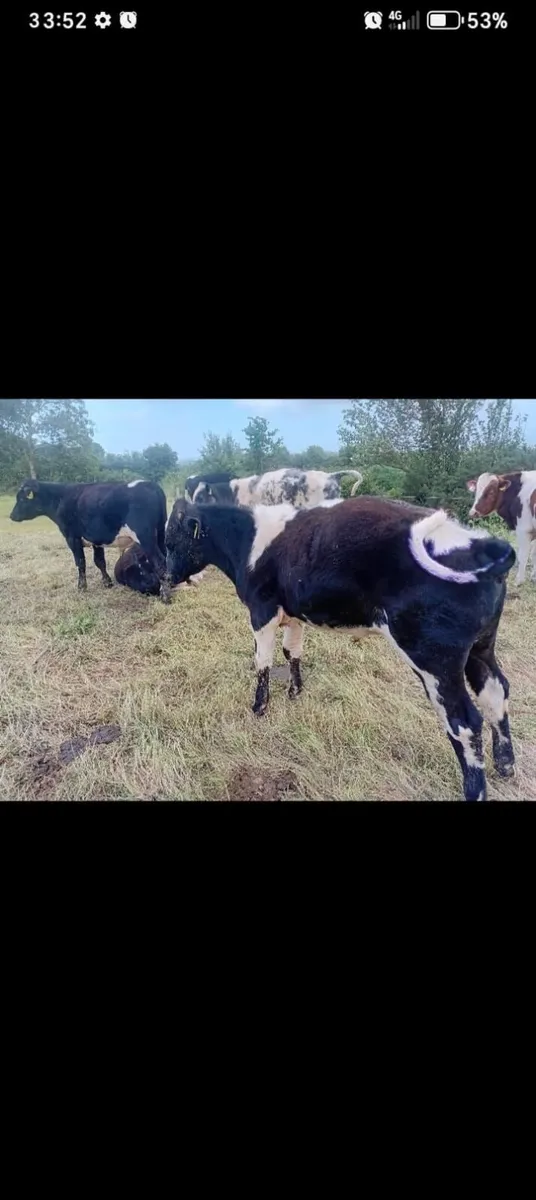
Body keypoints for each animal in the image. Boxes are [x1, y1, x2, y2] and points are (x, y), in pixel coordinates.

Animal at [10, 478, 171, 599]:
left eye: (22, 498)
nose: (11, 516)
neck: (61, 498)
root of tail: (151, 485)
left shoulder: (72, 537)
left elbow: (81, 562)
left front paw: (82, 587)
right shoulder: (96, 540)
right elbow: (99, 561)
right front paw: (107, 582)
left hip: (145, 538)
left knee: (160, 563)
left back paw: (165, 596)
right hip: (160, 533)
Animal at [166, 495, 516, 802]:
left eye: (172, 539)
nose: (165, 578)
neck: (251, 541)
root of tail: (477, 542)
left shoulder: (261, 611)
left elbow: (262, 661)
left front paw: (259, 707)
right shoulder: (293, 614)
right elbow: (291, 652)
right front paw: (295, 691)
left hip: (434, 659)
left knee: (464, 723)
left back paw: (474, 791)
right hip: (480, 648)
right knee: (496, 691)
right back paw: (506, 765)